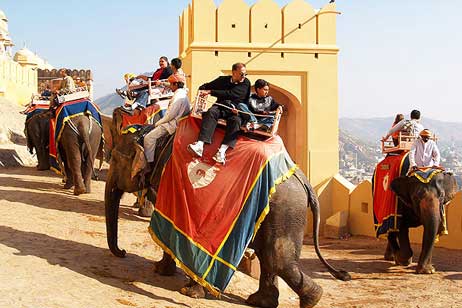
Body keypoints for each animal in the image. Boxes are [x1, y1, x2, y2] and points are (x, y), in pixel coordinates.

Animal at [104, 131, 350, 308]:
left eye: (114, 158)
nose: (123, 252)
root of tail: (303, 180)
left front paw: (183, 288)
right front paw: (165, 272)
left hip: (286, 210)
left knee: (277, 258)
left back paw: (311, 300)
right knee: (268, 255)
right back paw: (261, 302)